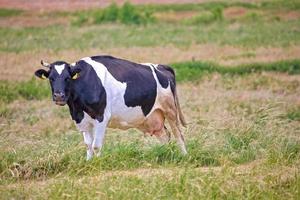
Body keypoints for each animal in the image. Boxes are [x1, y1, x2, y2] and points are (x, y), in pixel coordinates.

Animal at [34, 55, 186, 160]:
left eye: (67, 78)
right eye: (51, 78)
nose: (58, 96)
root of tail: (162, 66)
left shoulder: (101, 117)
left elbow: (96, 145)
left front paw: (98, 163)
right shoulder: (81, 120)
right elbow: (88, 145)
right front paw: (88, 162)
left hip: (170, 109)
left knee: (178, 134)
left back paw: (184, 155)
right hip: (150, 118)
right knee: (165, 135)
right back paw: (165, 154)